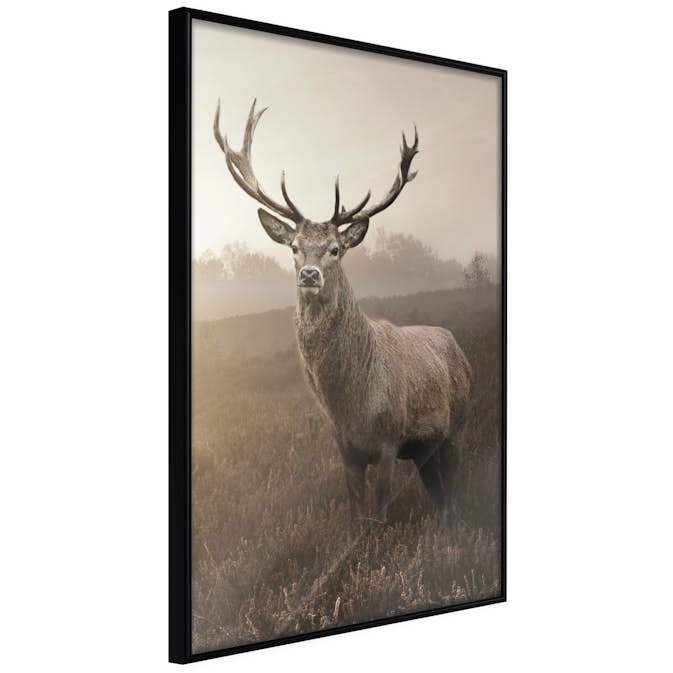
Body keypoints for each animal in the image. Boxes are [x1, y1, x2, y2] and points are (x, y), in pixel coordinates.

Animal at [214, 100, 473, 522]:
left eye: (335, 248)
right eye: (294, 247)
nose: (309, 274)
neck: (350, 404)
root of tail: (456, 344)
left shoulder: (388, 441)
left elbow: (379, 516)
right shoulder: (346, 451)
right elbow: (356, 517)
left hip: (457, 425)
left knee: (453, 489)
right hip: (424, 449)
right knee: (438, 490)